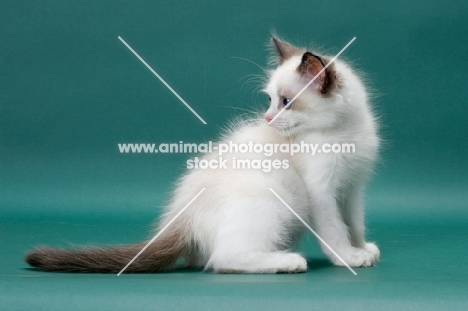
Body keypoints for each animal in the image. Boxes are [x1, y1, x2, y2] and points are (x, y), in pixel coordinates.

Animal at [24, 37, 380, 274]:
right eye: (269, 100)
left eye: (286, 102)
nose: (267, 118)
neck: (343, 135)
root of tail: (181, 217)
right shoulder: (321, 193)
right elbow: (334, 229)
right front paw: (348, 257)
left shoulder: (352, 188)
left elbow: (355, 223)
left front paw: (362, 248)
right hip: (273, 200)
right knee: (223, 259)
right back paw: (288, 261)